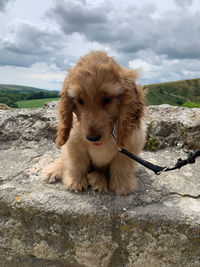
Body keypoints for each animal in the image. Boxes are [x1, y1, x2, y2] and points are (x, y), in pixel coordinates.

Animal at [45, 50, 145, 195]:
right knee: (64, 159)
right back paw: (56, 169)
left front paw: (122, 186)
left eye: (107, 99)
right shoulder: (74, 145)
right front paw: (75, 182)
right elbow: (76, 164)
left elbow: (122, 166)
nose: (93, 138)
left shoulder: (130, 145)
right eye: (80, 101)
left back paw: (98, 180)